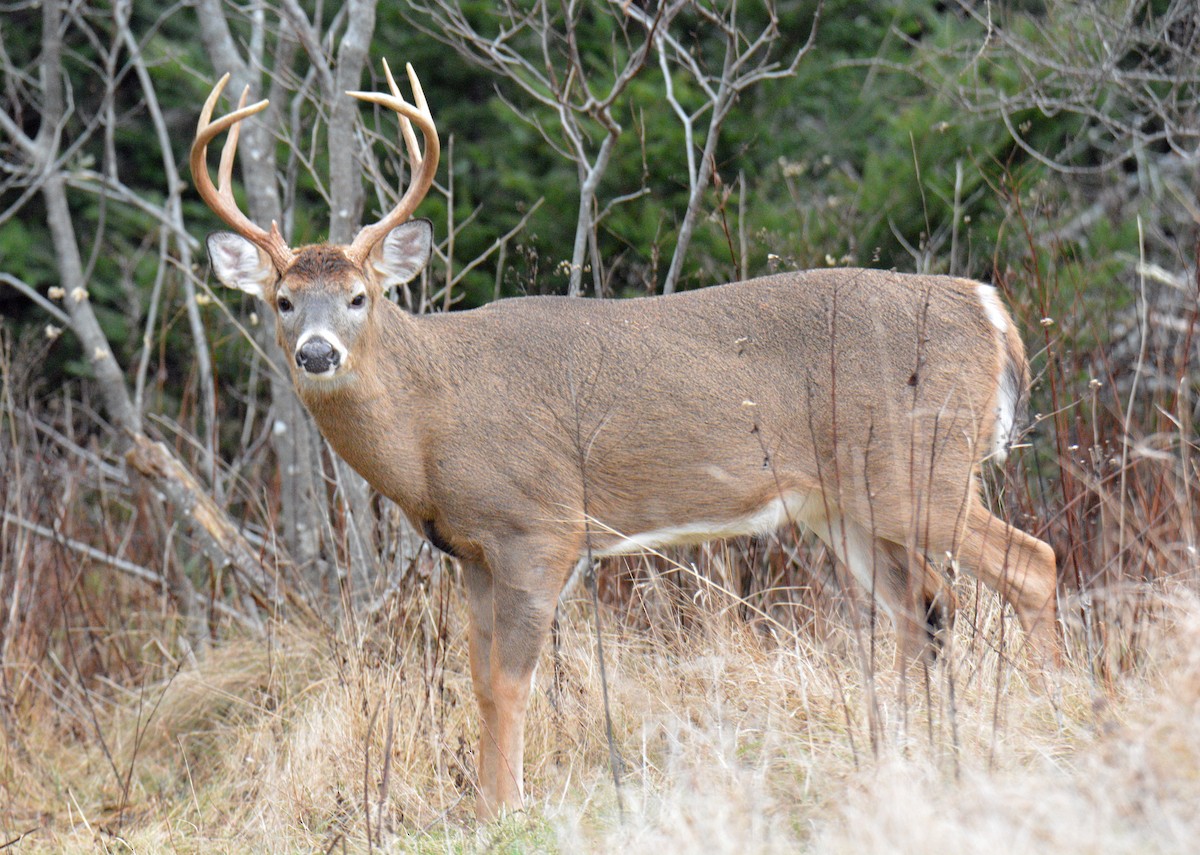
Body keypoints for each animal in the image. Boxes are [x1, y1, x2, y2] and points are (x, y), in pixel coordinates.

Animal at [191, 59, 1060, 820]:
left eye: (358, 296)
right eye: (282, 300)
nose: (317, 353)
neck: (434, 420)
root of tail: (989, 308)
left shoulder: (540, 526)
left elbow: (511, 682)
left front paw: (505, 809)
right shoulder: (472, 550)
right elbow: (479, 680)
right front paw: (484, 803)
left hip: (924, 466)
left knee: (1032, 564)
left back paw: (1046, 712)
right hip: (847, 503)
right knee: (926, 609)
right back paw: (905, 750)